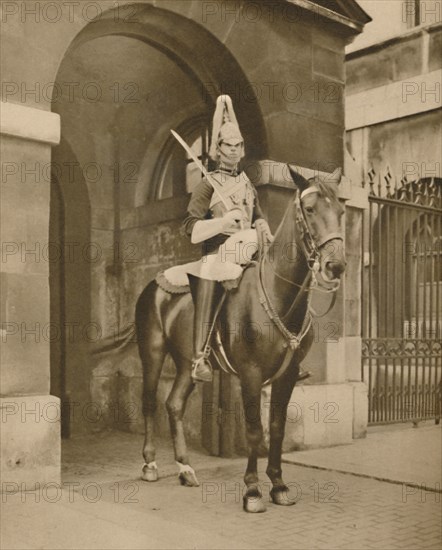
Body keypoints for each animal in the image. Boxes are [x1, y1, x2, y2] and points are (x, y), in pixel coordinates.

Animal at [135, 166, 346, 516]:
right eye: (310, 209)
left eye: (341, 212)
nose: (336, 265)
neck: (277, 293)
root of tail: (153, 284)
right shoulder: (250, 374)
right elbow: (254, 430)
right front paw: (252, 491)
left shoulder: (288, 375)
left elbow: (276, 428)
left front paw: (279, 485)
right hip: (152, 353)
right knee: (150, 402)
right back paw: (150, 464)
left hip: (187, 363)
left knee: (174, 404)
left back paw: (185, 469)